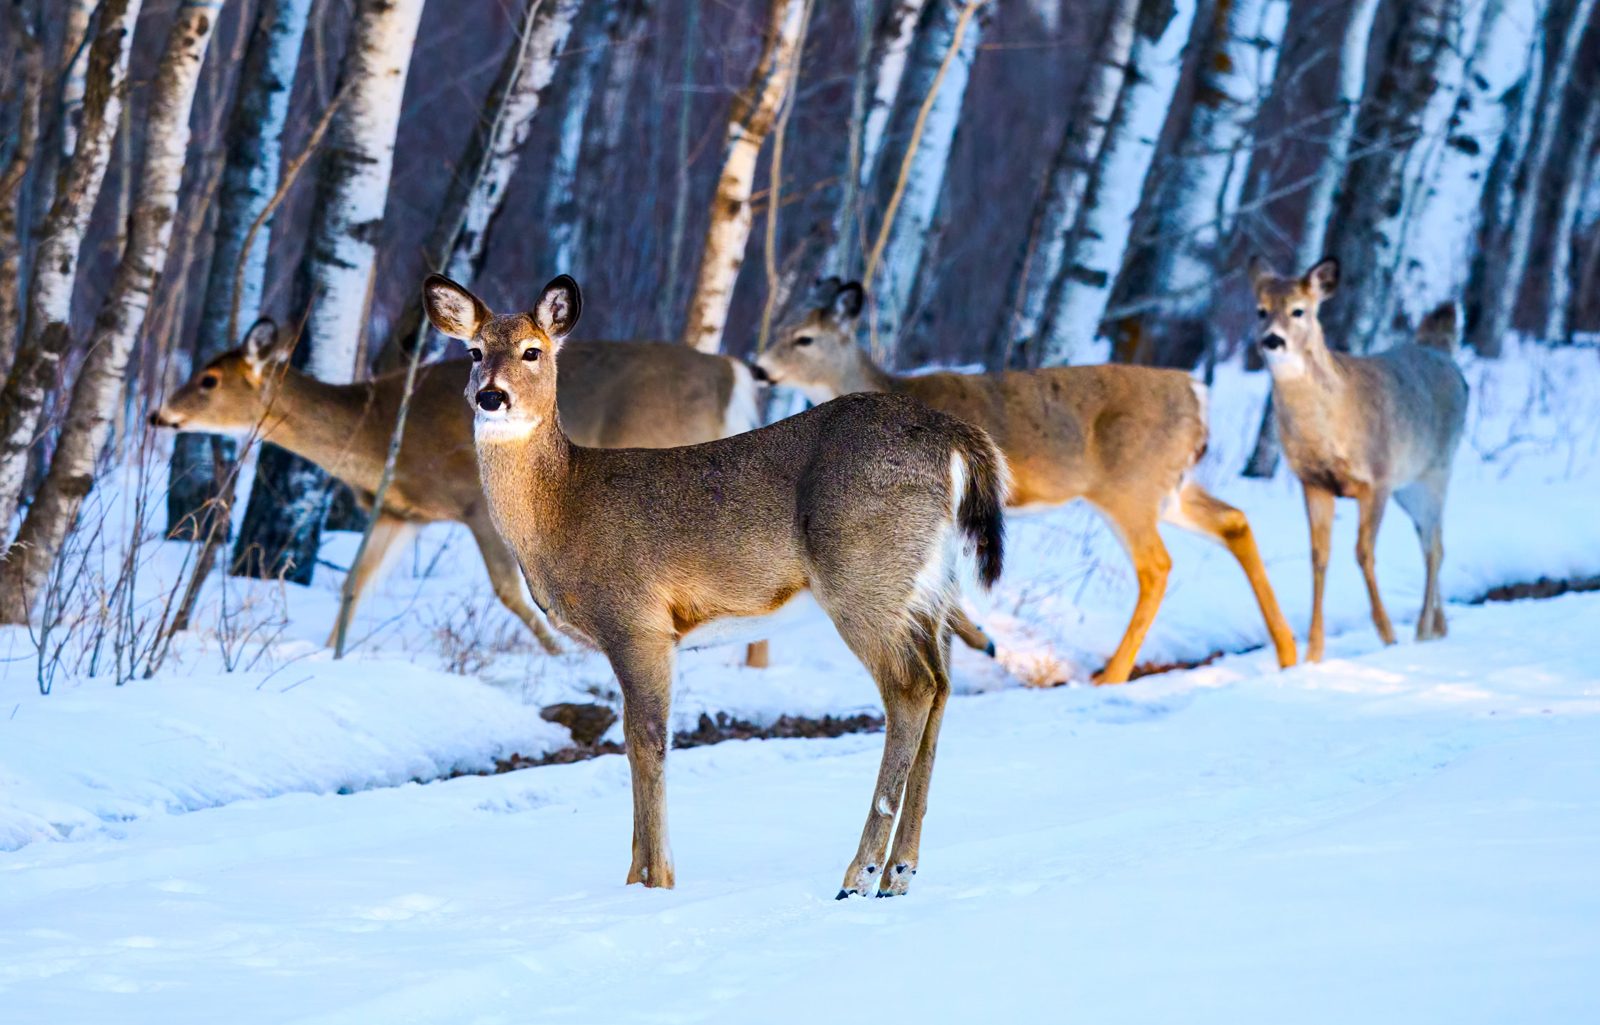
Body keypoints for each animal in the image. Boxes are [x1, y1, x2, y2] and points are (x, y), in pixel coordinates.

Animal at [149, 319, 763, 655]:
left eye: (209, 379)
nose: (157, 415)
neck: (379, 432)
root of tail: (730, 373)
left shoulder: (473, 503)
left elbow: (508, 591)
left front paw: (559, 654)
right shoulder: (402, 512)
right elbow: (354, 582)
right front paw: (328, 654)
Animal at [422, 272, 1007, 895]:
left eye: (533, 350)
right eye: (474, 351)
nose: (491, 396)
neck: (561, 507)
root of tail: (954, 437)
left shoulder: (637, 622)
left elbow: (646, 741)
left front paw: (652, 880)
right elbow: (636, 740)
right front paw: (642, 875)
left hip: (864, 577)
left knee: (910, 688)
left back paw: (860, 872)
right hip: (928, 590)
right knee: (942, 685)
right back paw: (900, 871)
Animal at [756, 279, 1299, 684]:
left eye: (803, 338)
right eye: (779, 328)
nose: (760, 368)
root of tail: (1197, 392)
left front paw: (987, 642)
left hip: (1130, 486)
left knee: (1156, 564)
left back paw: (1111, 674)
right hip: (1171, 488)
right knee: (1234, 521)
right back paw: (1289, 653)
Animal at [1247, 257, 1468, 661]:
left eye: (1299, 310)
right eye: (1261, 310)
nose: (1272, 339)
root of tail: (1442, 353)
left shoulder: (1376, 479)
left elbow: (1363, 553)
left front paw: (1387, 634)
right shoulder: (1313, 482)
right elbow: (1319, 556)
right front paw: (1313, 652)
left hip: (1437, 469)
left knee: (1433, 547)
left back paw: (1422, 630)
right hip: (1408, 486)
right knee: (1434, 541)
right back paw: (1440, 627)